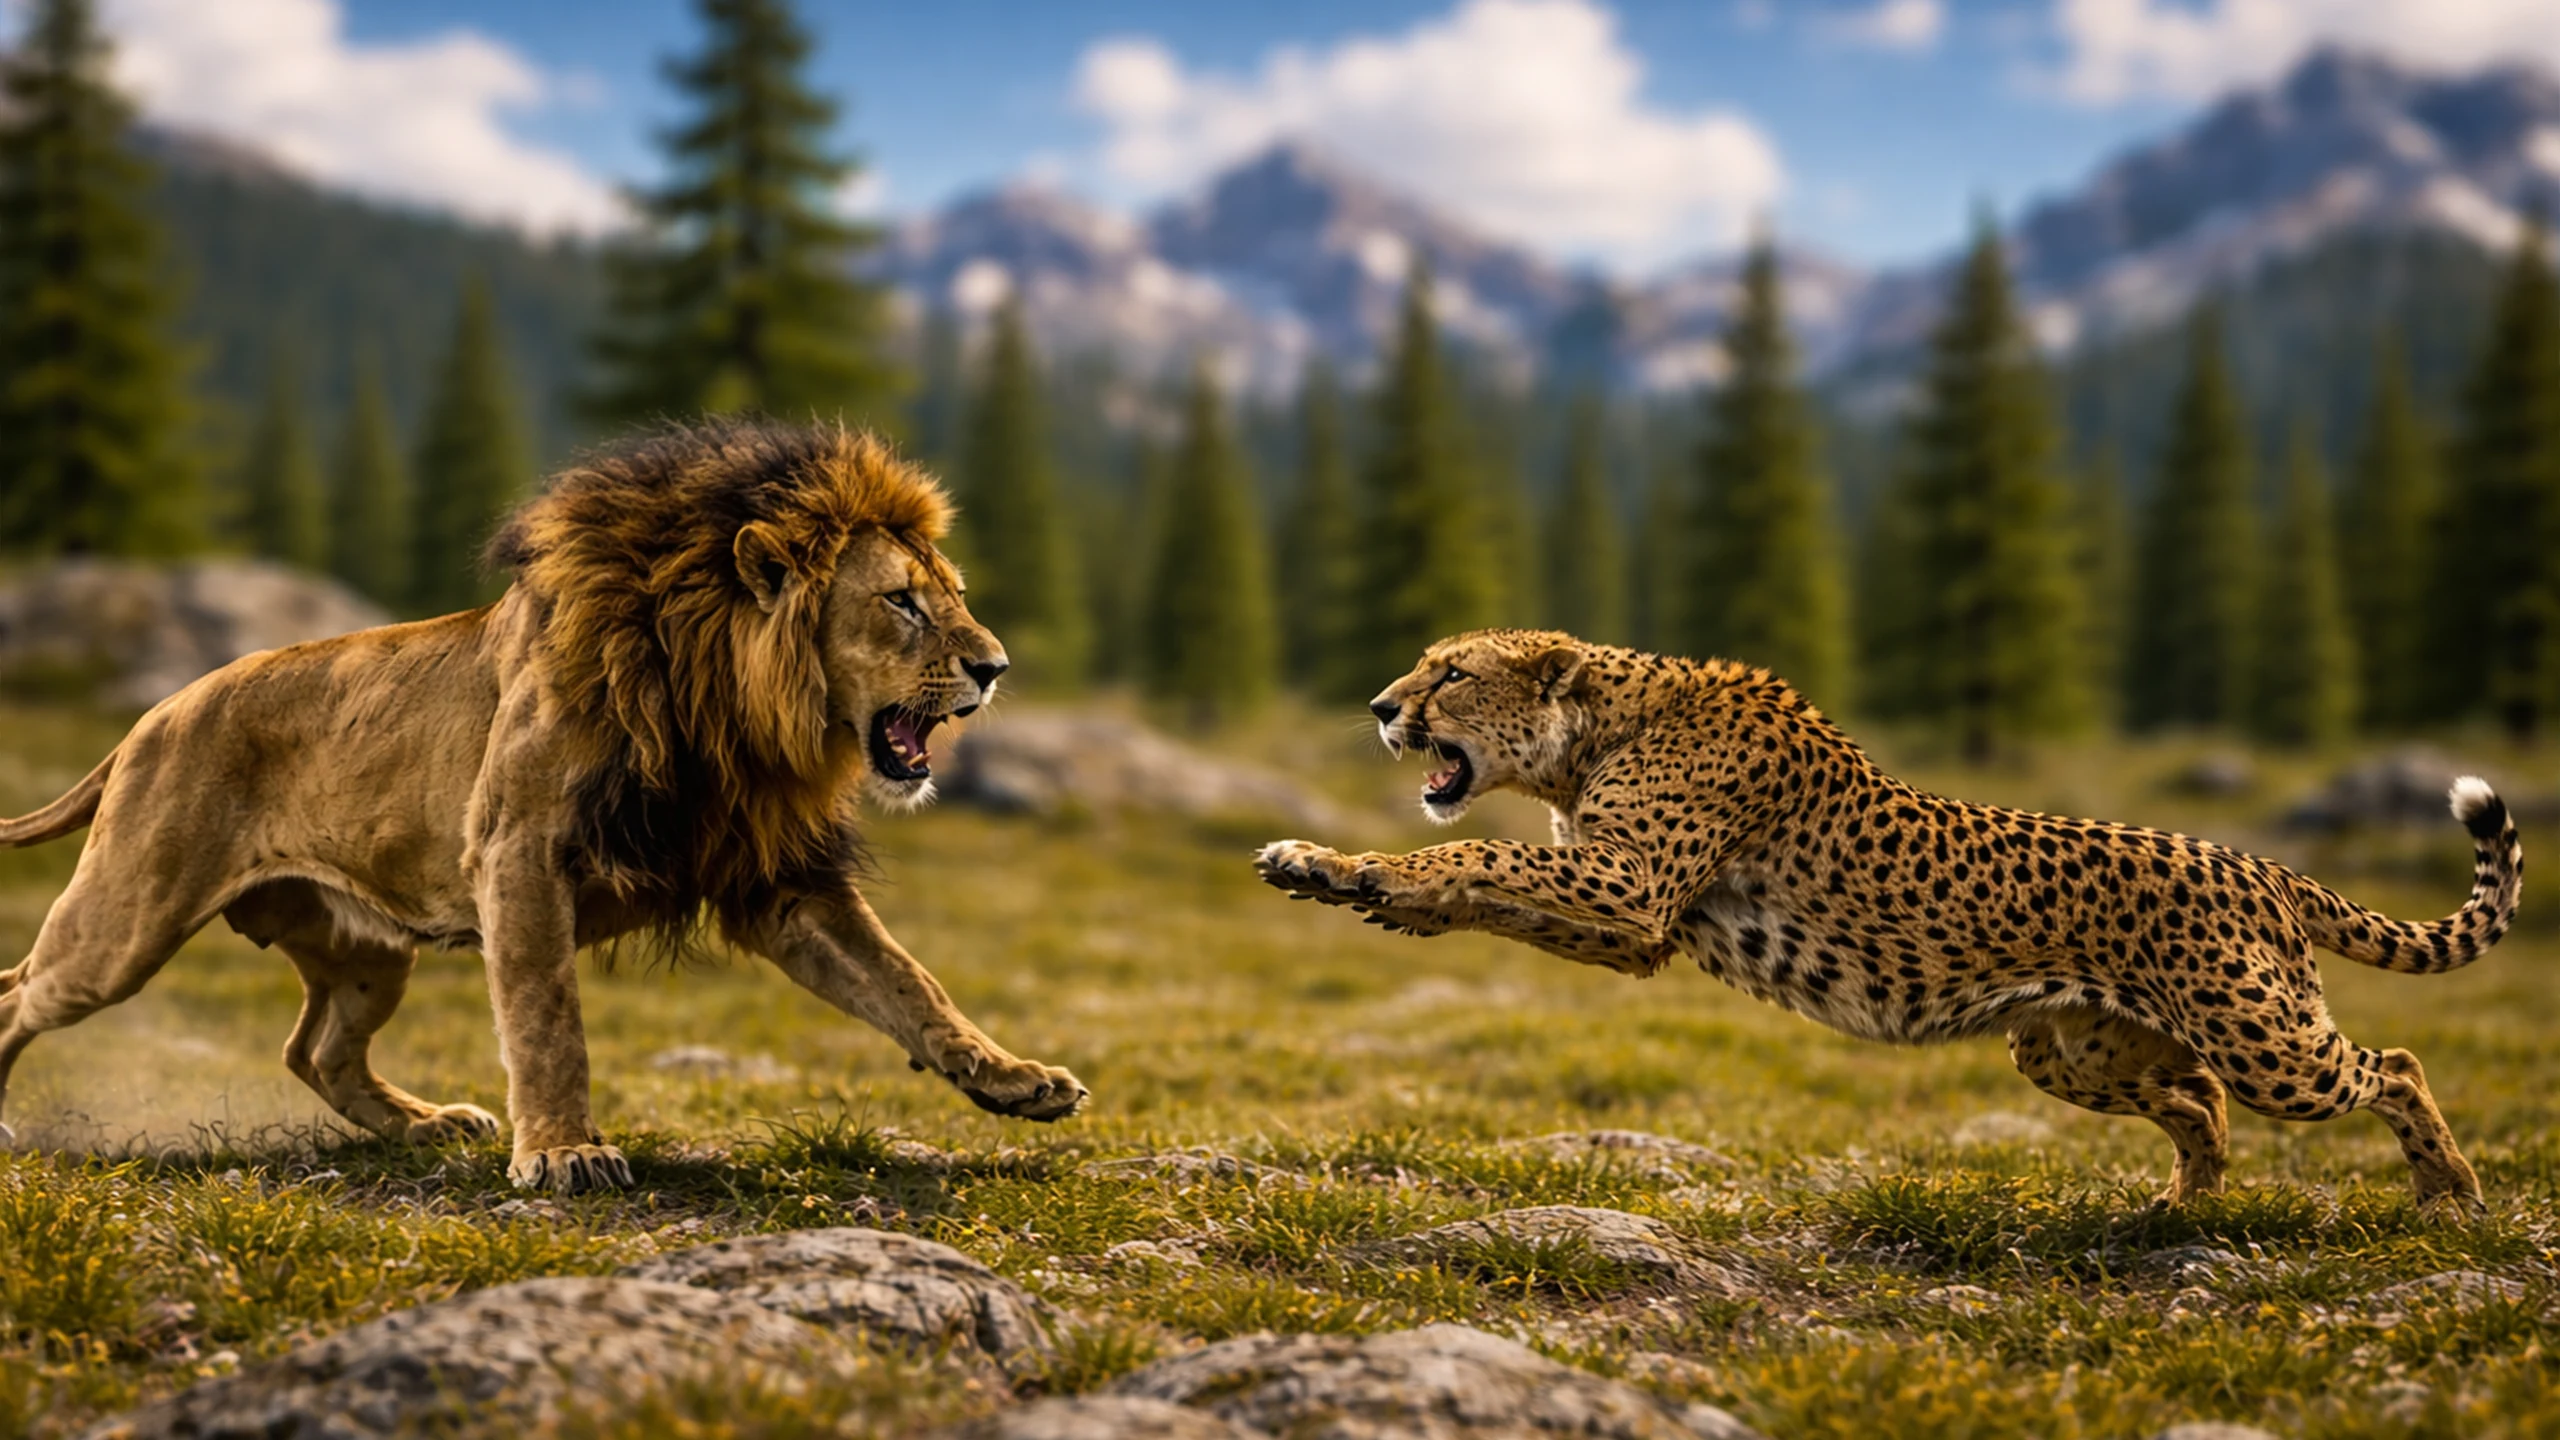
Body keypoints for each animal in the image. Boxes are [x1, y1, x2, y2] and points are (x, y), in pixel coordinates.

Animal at [1256, 629, 2521, 1211]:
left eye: (1451, 673)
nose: (1379, 706)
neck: (1597, 727)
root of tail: (2259, 863)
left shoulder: (1630, 890)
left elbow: (1474, 849)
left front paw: (1355, 869)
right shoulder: (1638, 921)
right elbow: (1476, 876)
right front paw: (1340, 878)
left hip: (2268, 1043)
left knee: (2391, 1065)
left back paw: (2446, 1192)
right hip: (2066, 1049)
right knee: (2199, 1099)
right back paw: (2184, 1207)